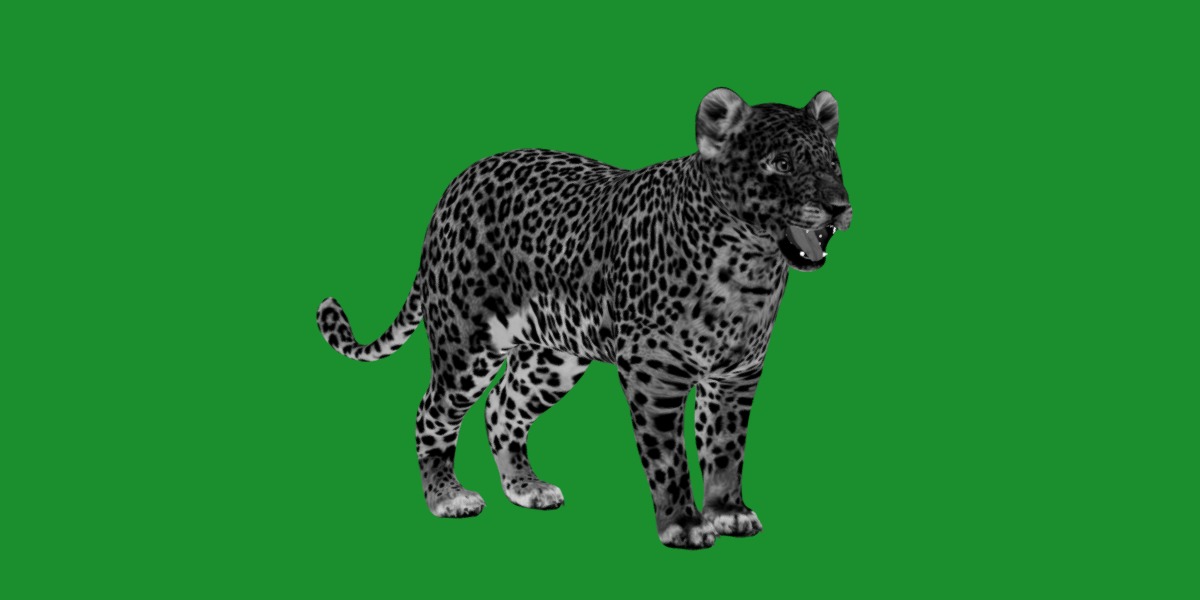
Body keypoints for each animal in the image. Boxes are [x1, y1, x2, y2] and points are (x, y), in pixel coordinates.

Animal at [315, 88, 852, 549]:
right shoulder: (653, 373)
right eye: (781, 164)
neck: (748, 266)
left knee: (502, 408)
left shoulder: (736, 375)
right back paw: (448, 497)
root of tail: (456, 185)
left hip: (552, 358)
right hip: (466, 345)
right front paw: (683, 524)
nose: (839, 206)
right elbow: (668, 458)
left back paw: (526, 488)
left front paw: (728, 512)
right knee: (432, 413)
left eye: (832, 163)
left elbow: (725, 449)